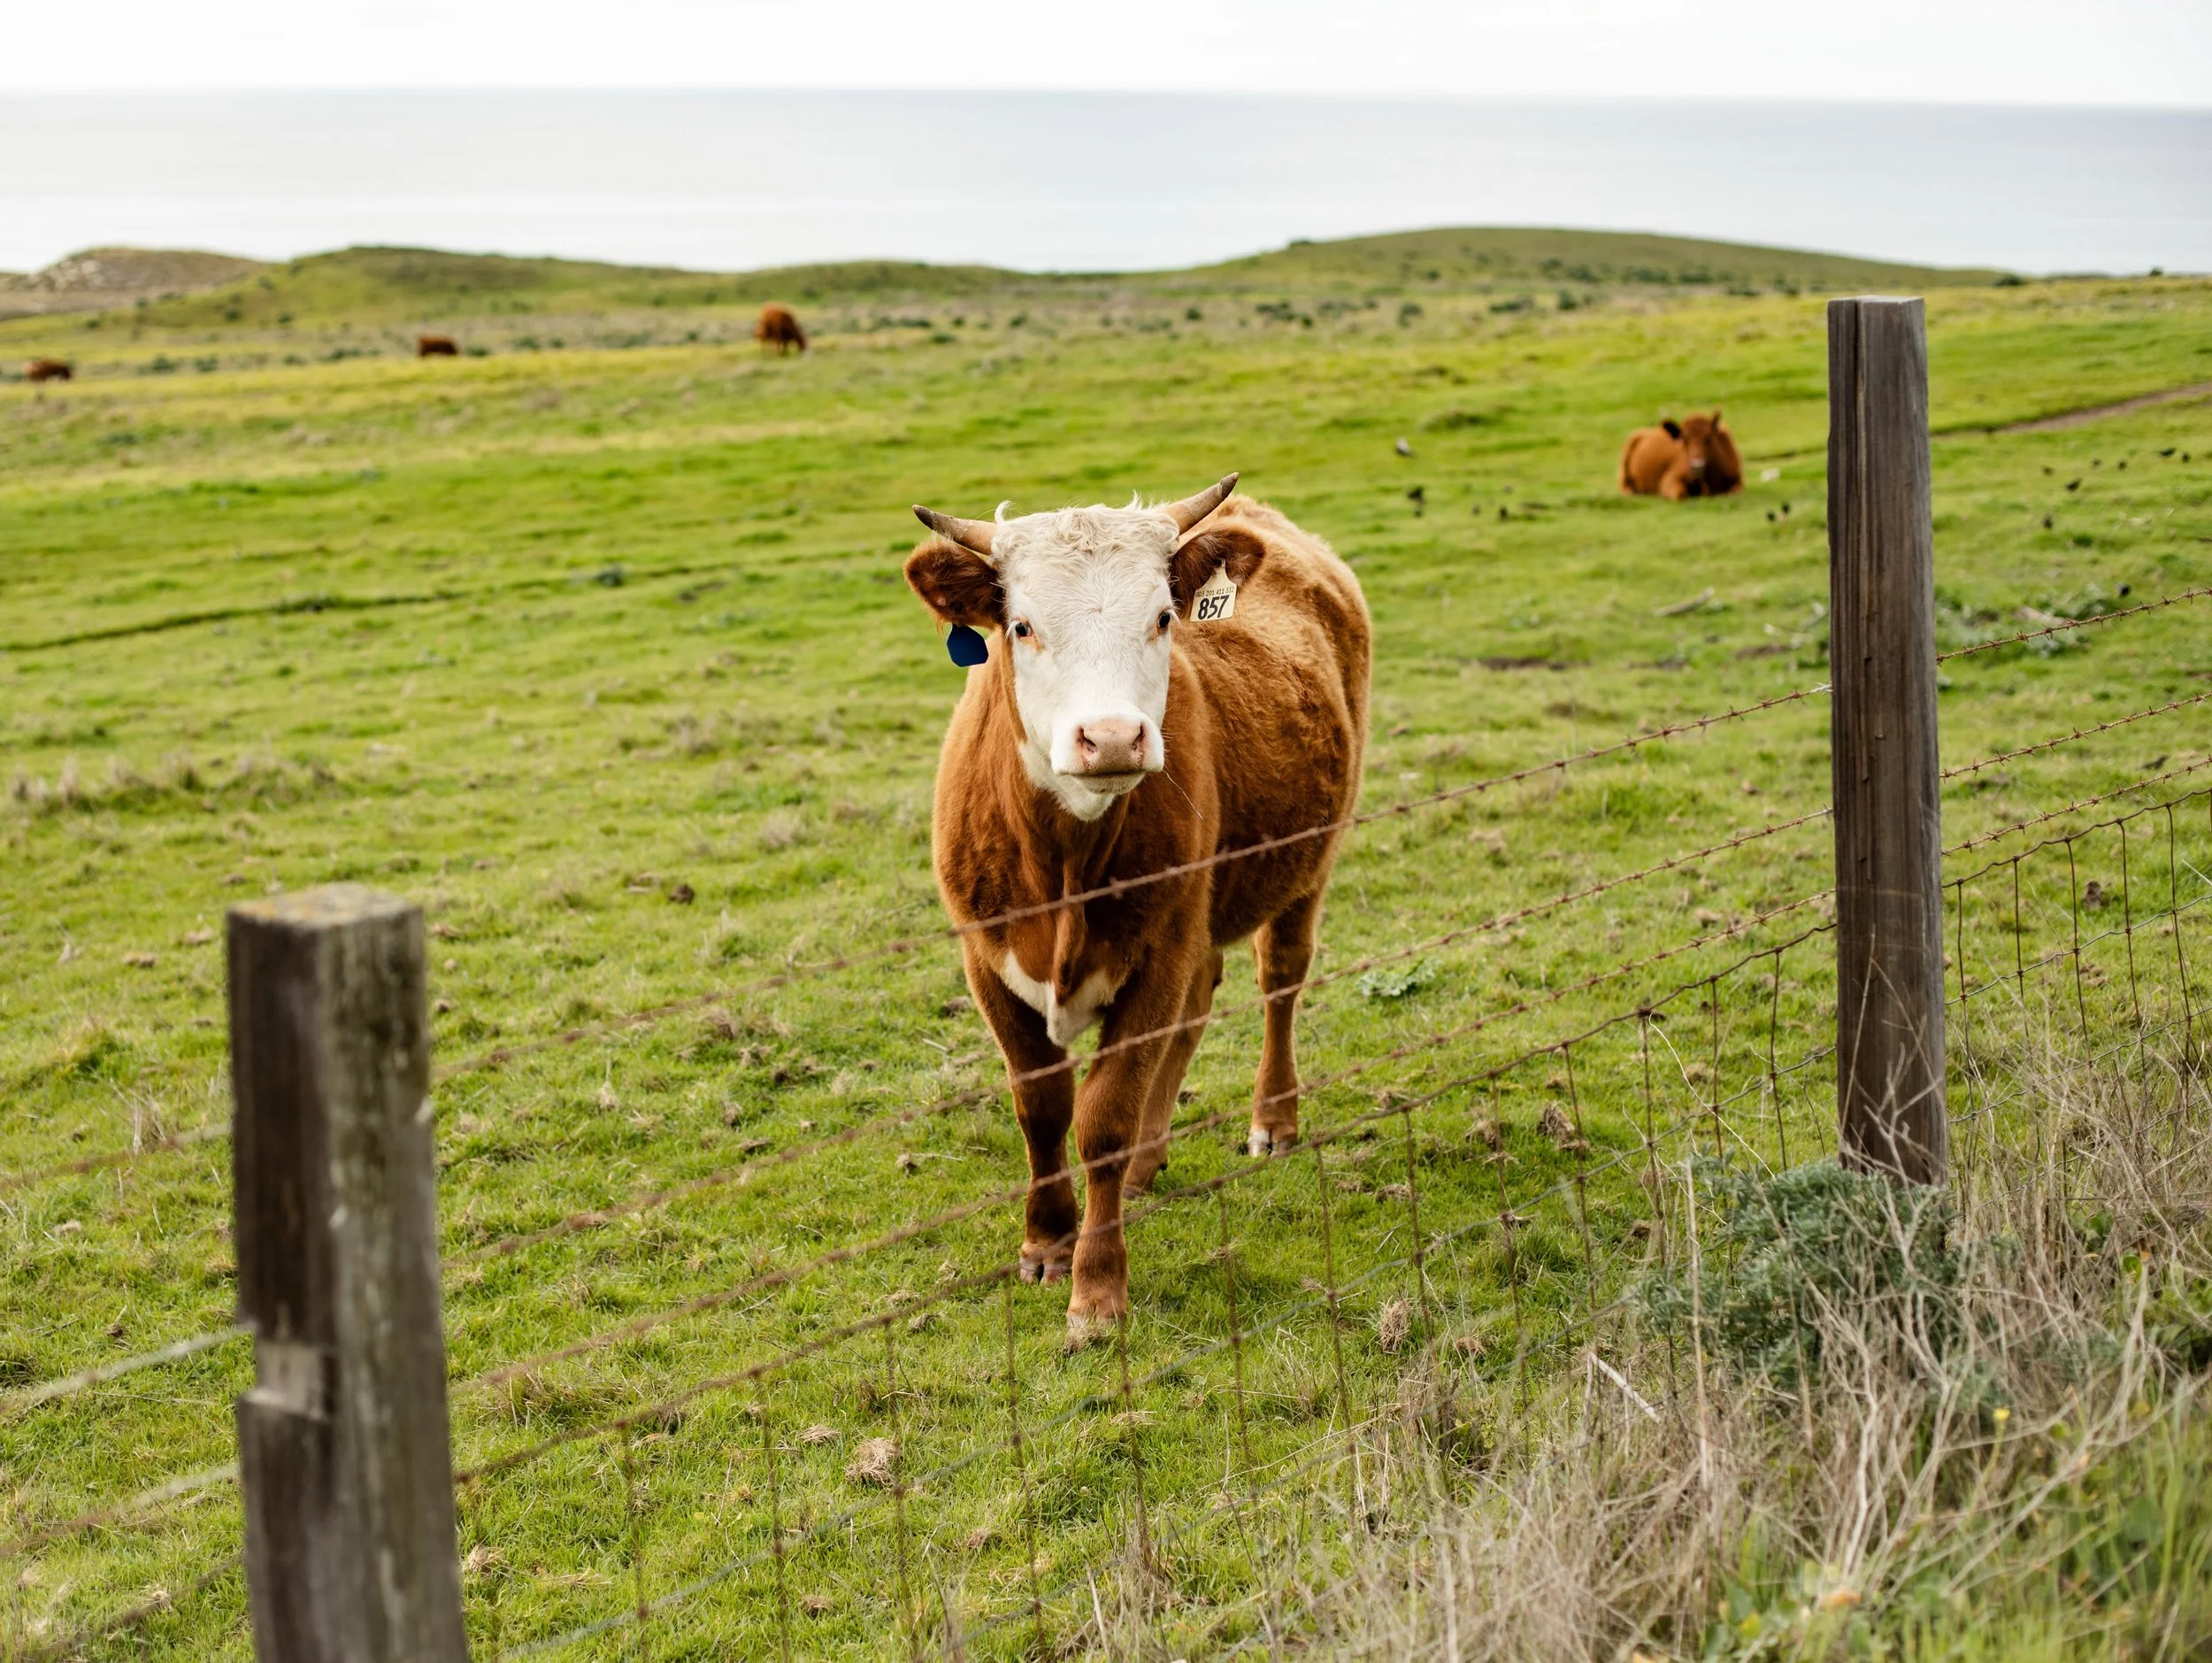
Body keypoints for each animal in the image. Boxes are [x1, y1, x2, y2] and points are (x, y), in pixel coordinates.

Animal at [904, 475, 1371, 1342]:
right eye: (1020, 624)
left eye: (1162, 617)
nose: (1115, 737)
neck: (1063, 866)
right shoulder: (986, 961)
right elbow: (1042, 1106)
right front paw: (1046, 1242)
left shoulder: (1155, 953)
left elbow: (1103, 1120)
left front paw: (1096, 1289)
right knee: (1198, 1004)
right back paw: (1154, 1160)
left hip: (1307, 860)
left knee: (1280, 980)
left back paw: (1273, 1120)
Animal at [1618, 410, 1744, 499]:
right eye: (1684, 440)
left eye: (1708, 438)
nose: (1697, 466)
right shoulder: (1669, 482)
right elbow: (1681, 494)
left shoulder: (1738, 482)